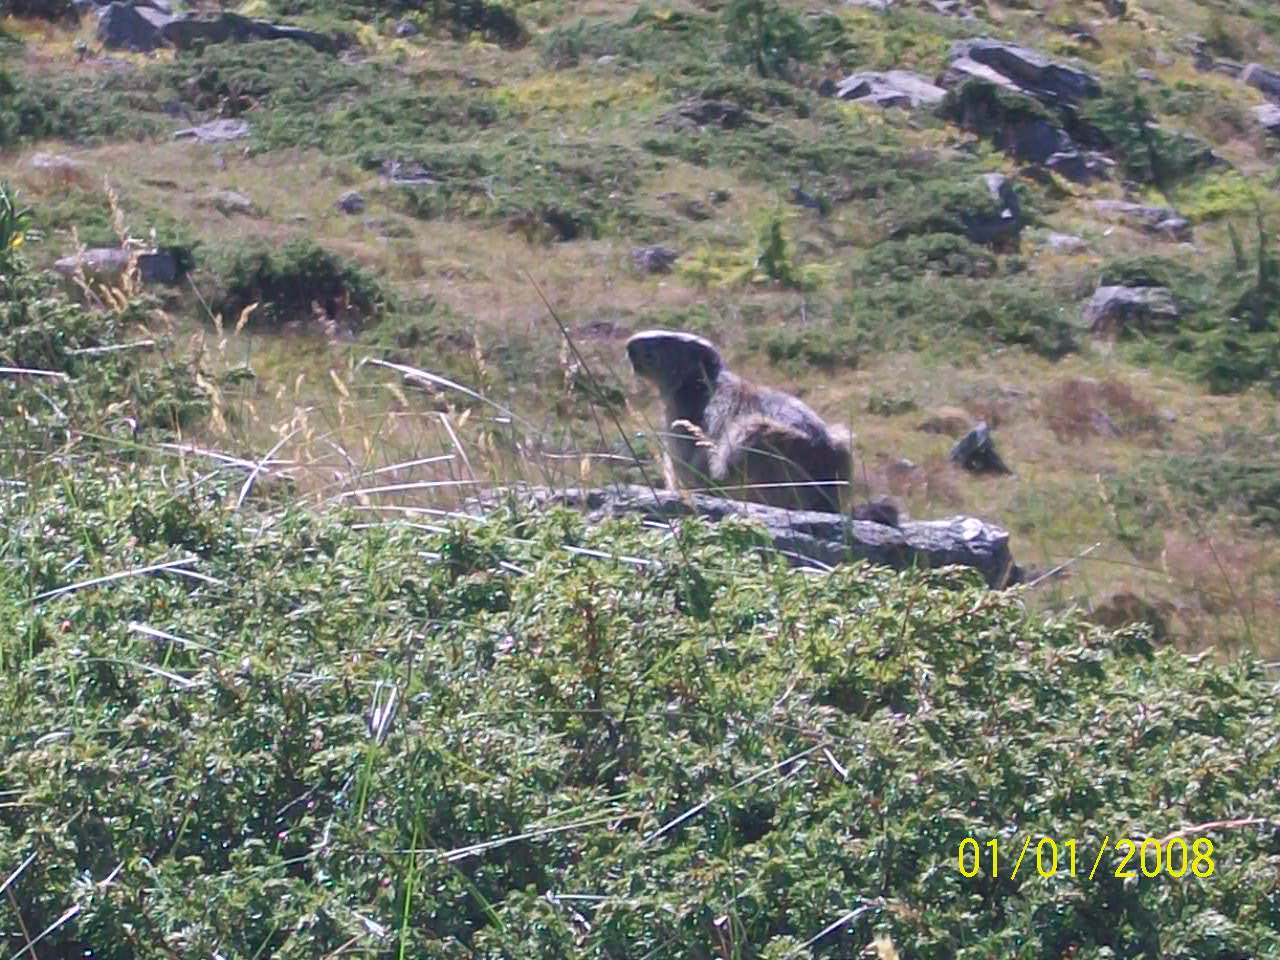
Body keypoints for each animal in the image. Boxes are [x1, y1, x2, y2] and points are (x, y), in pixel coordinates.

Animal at [625, 329, 853, 513]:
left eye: (665, 340)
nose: (628, 345)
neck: (697, 381)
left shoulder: (681, 415)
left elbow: (681, 462)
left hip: (755, 436)